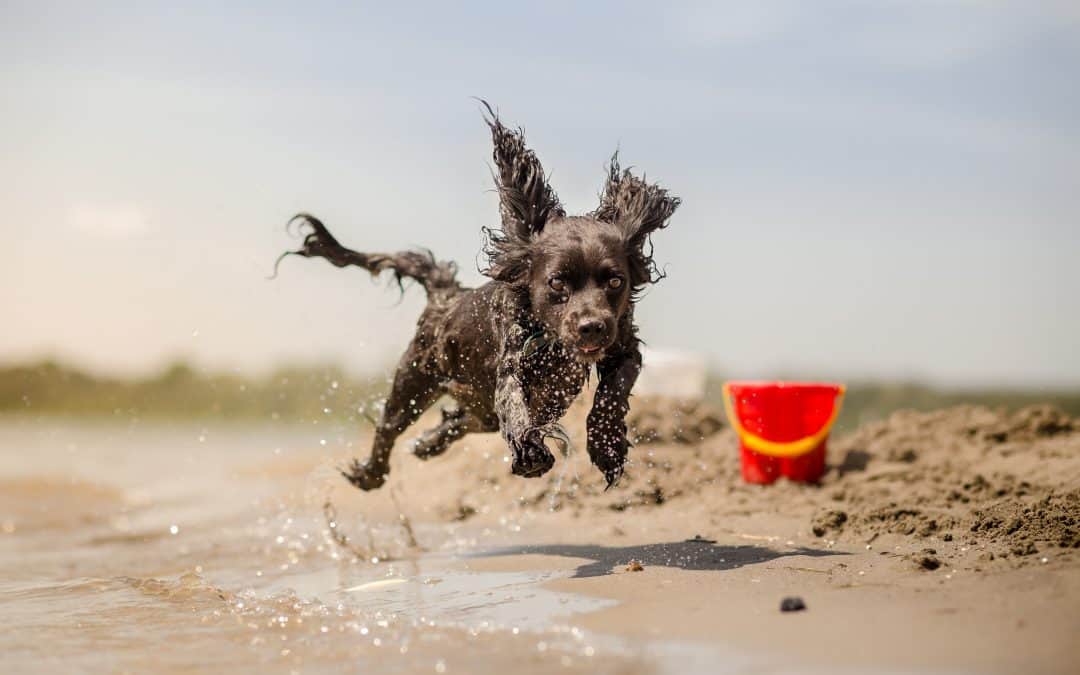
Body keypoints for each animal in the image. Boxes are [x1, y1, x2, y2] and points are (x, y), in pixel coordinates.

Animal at [282, 102, 678, 490]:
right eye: (557, 283)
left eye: (615, 282)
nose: (592, 327)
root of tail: (446, 295)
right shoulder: (512, 360)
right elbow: (514, 403)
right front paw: (531, 452)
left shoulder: (623, 344)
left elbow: (613, 391)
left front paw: (607, 447)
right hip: (415, 378)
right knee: (389, 426)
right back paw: (370, 473)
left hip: (469, 402)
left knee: (463, 419)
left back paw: (428, 443)